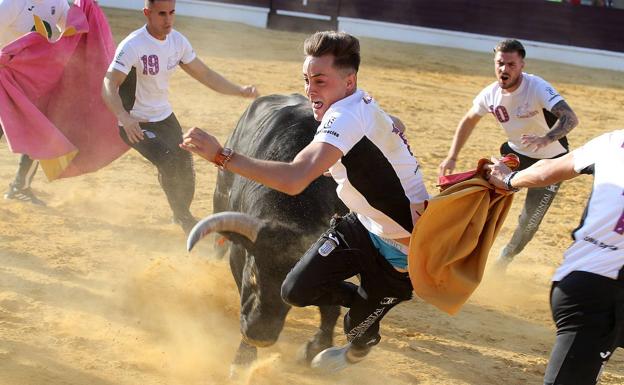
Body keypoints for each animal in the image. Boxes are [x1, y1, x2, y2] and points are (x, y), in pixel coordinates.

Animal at [188, 93, 348, 368]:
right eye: (253, 275)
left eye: (287, 290)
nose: (259, 336)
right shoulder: (240, 255)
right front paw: (243, 359)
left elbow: (330, 308)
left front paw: (316, 347)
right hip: (220, 193)